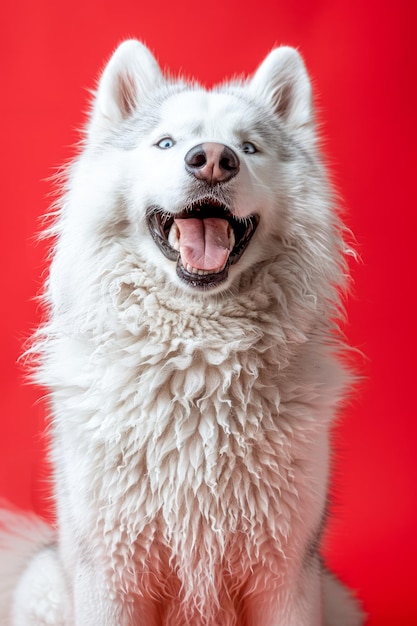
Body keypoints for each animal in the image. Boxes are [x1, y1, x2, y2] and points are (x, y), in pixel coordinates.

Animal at [0, 41, 362, 620]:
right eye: (166, 143)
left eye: (249, 147)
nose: (213, 158)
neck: (197, 357)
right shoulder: (112, 572)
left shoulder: (284, 574)